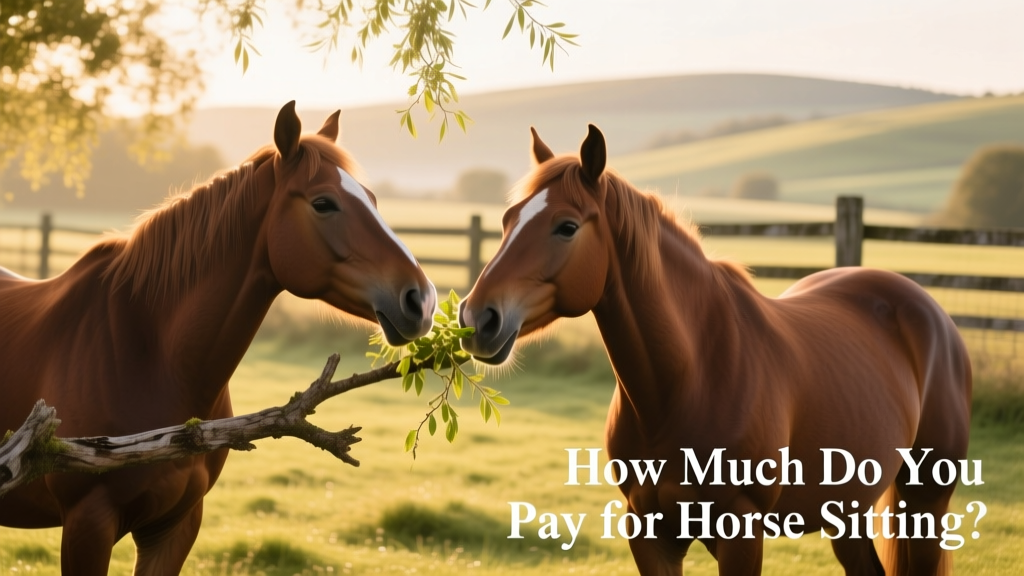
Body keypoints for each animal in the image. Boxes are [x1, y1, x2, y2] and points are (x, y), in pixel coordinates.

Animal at [0, 101, 436, 575]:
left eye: (372, 199)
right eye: (324, 203)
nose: (421, 299)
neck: (148, 357)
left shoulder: (175, 528)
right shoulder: (87, 527)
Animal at [459, 125, 971, 576]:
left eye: (566, 227)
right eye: (507, 220)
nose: (477, 318)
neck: (689, 380)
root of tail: (926, 308)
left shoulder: (741, 533)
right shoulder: (649, 533)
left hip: (926, 499)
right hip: (846, 509)